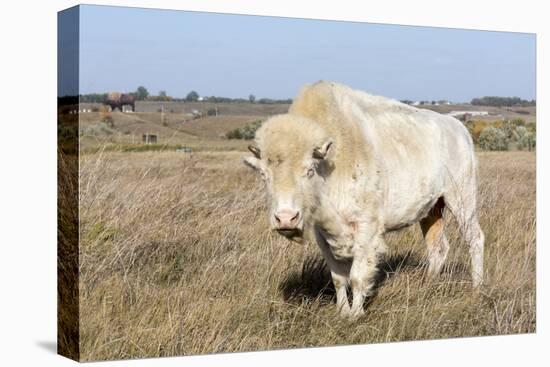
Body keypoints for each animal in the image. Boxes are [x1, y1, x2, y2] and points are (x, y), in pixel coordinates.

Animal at [246, 82, 488, 318]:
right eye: (264, 174)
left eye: (309, 170)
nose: (286, 219)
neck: (331, 162)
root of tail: (459, 129)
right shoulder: (323, 233)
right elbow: (338, 278)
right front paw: (342, 312)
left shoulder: (366, 229)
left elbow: (357, 276)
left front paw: (356, 314)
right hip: (432, 209)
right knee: (437, 247)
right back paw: (426, 286)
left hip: (462, 199)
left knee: (475, 238)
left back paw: (476, 289)